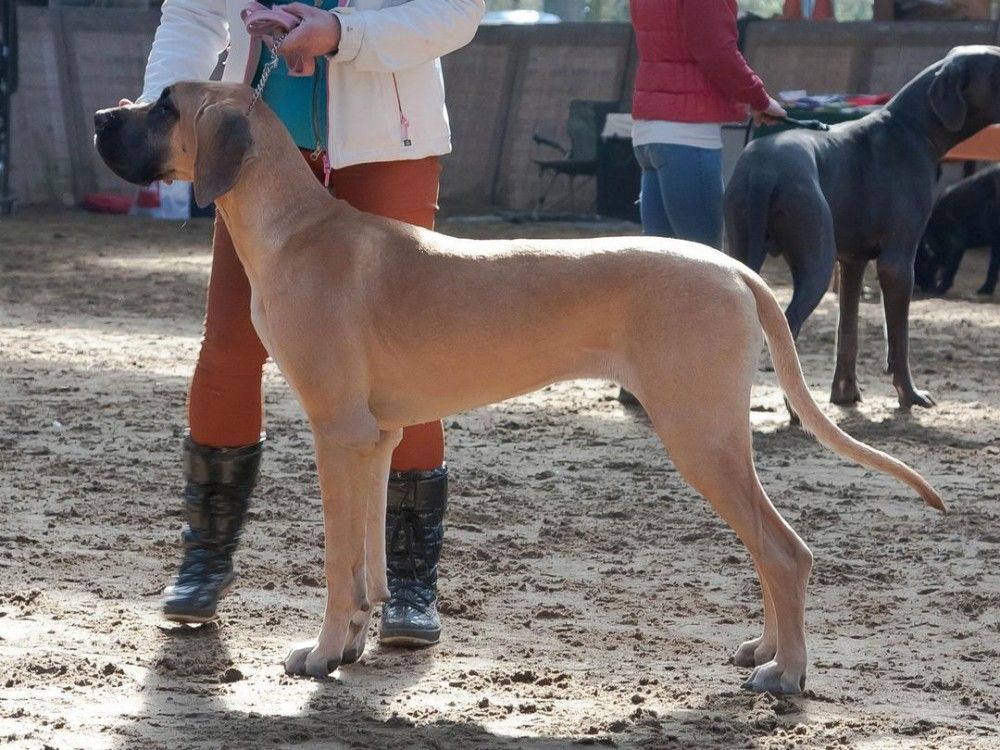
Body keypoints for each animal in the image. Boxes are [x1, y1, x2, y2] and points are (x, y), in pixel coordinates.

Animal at [94, 81, 943, 694]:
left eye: (166, 106)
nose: (103, 116)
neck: (296, 227)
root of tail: (735, 270)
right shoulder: (374, 439)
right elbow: (367, 562)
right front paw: (357, 641)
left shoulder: (336, 431)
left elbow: (339, 564)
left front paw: (325, 651)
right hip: (715, 439)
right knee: (768, 551)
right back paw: (764, 647)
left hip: (699, 434)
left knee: (786, 551)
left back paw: (787, 673)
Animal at [915, 164, 1000, 296]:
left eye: (920, 265)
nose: (925, 287)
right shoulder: (996, 243)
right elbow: (993, 267)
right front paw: (985, 290)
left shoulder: (956, 245)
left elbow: (950, 269)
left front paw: (939, 289)